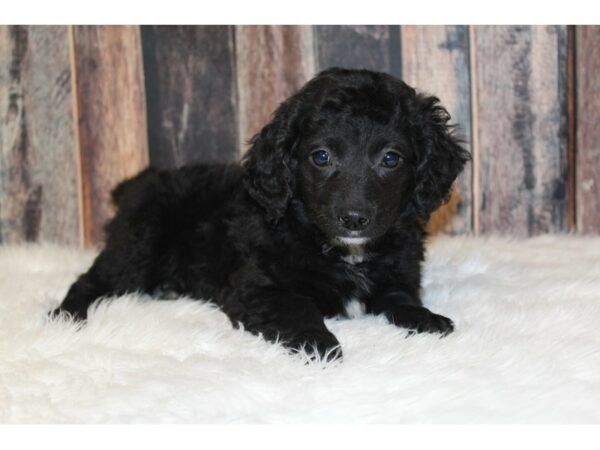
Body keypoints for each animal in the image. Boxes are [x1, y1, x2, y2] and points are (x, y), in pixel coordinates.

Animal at [51, 67, 472, 362]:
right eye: (321, 157)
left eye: (390, 159)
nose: (353, 219)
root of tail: (140, 181)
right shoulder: (257, 288)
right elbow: (300, 308)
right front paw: (319, 345)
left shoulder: (398, 274)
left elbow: (402, 300)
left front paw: (427, 319)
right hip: (137, 245)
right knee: (91, 281)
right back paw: (66, 318)